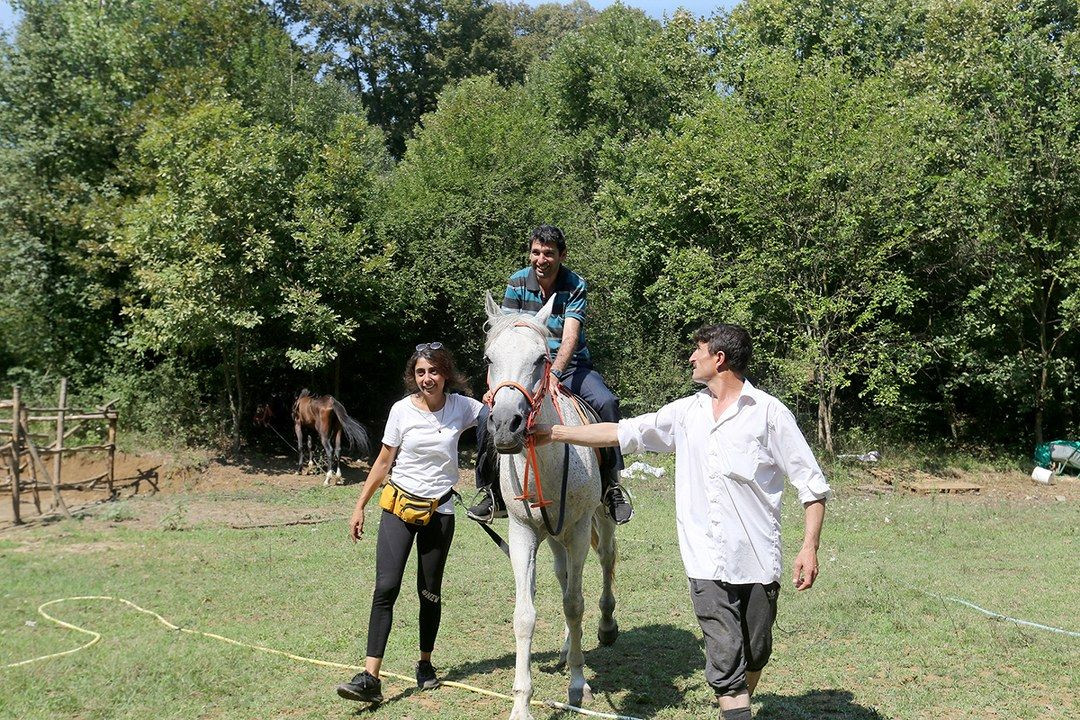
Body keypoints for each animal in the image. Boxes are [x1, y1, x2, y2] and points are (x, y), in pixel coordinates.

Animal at [486, 293, 622, 720]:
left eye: (540, 359)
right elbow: (525, 615)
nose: (506, 425)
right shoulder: (523, 533)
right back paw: (565, 648)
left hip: (597, 521)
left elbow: (575, 604)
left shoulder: (578, 530)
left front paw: (579, 684)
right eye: (489, 358)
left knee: (605, 560)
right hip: (553, 536)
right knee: (564, 577)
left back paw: (606, 626)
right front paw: (521, 704)